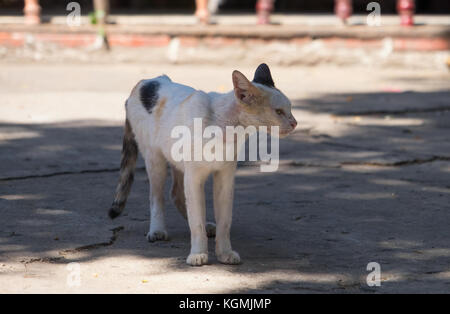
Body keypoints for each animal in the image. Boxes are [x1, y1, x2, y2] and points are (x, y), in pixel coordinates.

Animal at [108, 65, 298, 266]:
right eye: (278, 112)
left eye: (290, 109)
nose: (295, 122)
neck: (225, 128)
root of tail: (145, 81)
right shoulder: (194, 177)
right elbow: (196, 220)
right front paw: (198, 253)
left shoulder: (225, 176)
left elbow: (224, 221)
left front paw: (224, 253)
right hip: (155, 160)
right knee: (156, 197)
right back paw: (157, 230)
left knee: (176, 194)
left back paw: (207, 227)